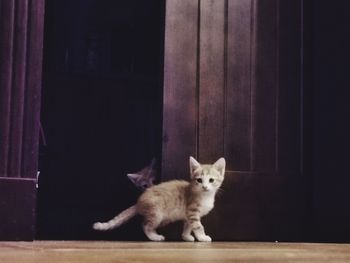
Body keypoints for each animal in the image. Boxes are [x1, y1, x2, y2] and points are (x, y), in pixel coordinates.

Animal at [93, 157, 226, 243]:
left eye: (211, 180)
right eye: (199, 180)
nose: (205, 187)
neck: (205, 196)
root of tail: (138, 202)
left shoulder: (188, 215)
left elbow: (188, 226)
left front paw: (186, 236)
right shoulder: (192, 212)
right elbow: (198, 226)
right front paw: (203, 237)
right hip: (157, 214)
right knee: (145, 225)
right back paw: (154, 237)